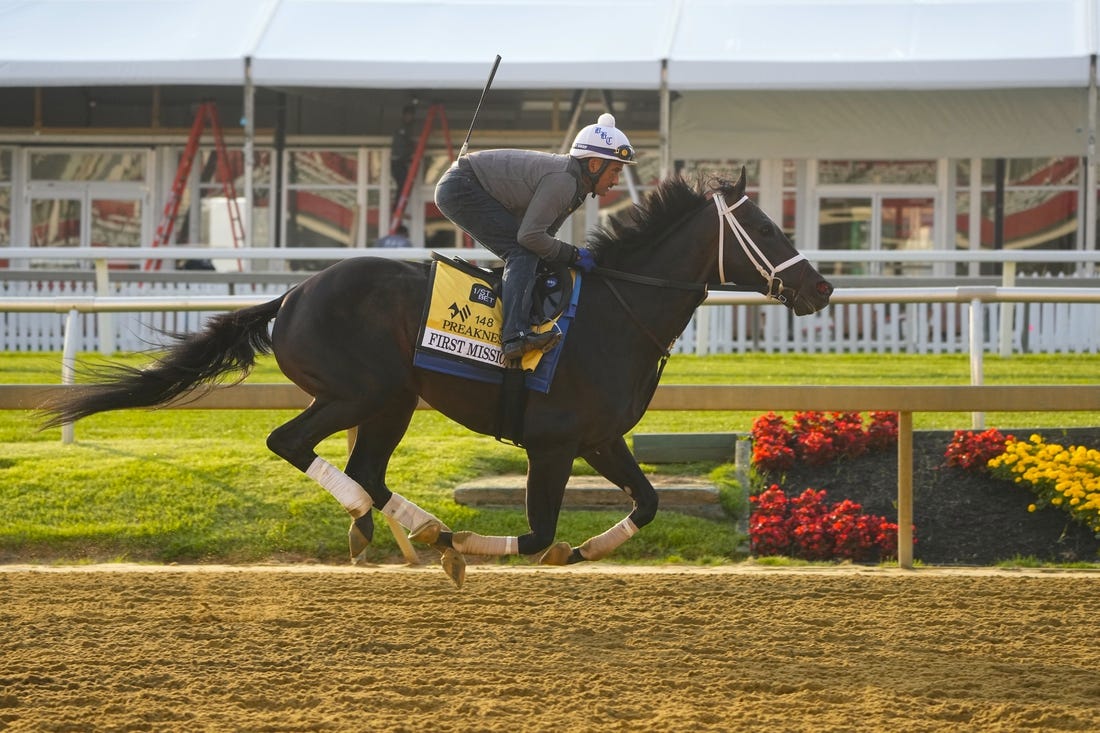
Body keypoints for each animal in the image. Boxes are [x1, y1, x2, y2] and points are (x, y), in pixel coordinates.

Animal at [42, 168, 831, 585]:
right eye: (767, 230)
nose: (820, 290)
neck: (616, 310)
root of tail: (292, 295)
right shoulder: (552, 445)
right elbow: (537, 531)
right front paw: (481, 548)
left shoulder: (601, 440)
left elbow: (648, 502)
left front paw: (585, 548)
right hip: (358, 391)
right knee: (293, 444)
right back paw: (405, 530)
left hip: (391, 401)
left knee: (367, 469)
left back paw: (410, 529)